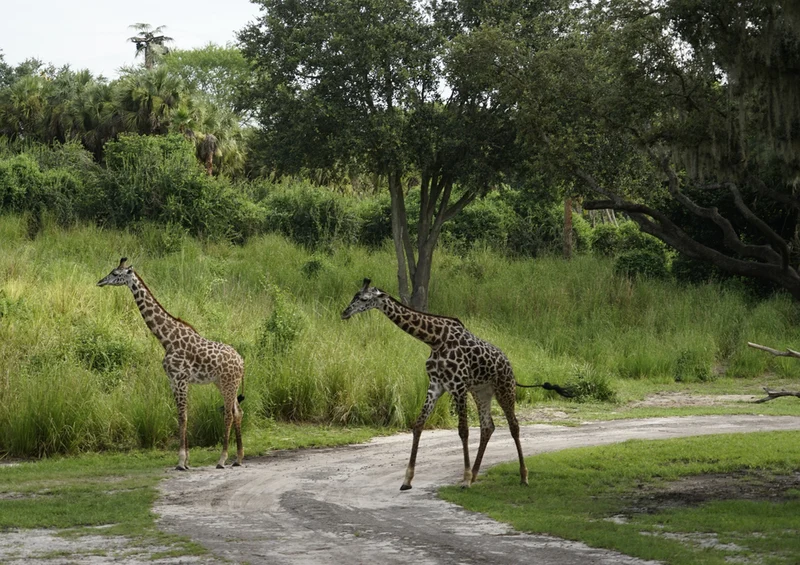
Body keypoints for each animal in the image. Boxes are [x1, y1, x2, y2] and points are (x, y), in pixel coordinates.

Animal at [98, 258, 244, 471]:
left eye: (116, 274)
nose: (100, 281)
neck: (166, 339)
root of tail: (242, 361)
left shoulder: (180, 379)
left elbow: (183, 416)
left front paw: (181, 462)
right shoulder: (173, 380)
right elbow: (182, 415)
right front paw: (186, 461)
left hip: (228, 383)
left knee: (228, 414)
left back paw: (222, 459)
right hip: (223, 382)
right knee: (237, 412)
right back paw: (238, 458)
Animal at [342, 278, 533, 491]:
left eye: (364, 299)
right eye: (354, 295)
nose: (344, 313)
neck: (434, 339)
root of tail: (508, 364)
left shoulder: (458, 386)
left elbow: (463, 431)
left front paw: (465, 479)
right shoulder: (436, 385)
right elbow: (418, 425)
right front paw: (407, 480)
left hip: (505, 389)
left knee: (514, 426)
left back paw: (523, 476)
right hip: (481, 392)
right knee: (487, 427)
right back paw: (476, 475)